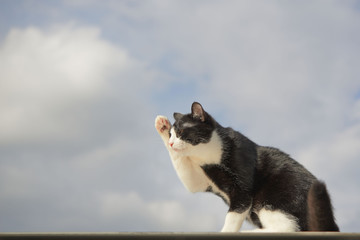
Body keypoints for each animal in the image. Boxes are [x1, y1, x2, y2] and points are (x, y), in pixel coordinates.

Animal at [154, 101, 338, 232]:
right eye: (171, 134)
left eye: (181, 133)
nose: (171, 143)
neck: (209, 157)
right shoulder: (199, 181)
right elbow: (183, 168)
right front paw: (162, 125)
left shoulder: (242, 190)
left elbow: (232, 218)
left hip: (272, 197)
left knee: (288, 227)